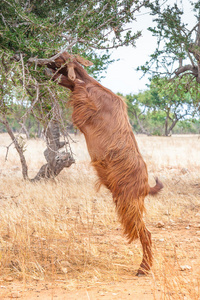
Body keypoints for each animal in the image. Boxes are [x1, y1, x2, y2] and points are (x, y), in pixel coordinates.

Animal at [42, 51, 162, 274]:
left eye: (61, 58)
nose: (45, 60)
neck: (92, 85)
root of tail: (146, 186)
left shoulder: (83, 106)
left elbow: (68, 82)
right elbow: (68, 83)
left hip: (128, 202)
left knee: (145, 233)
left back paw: (143, 268)